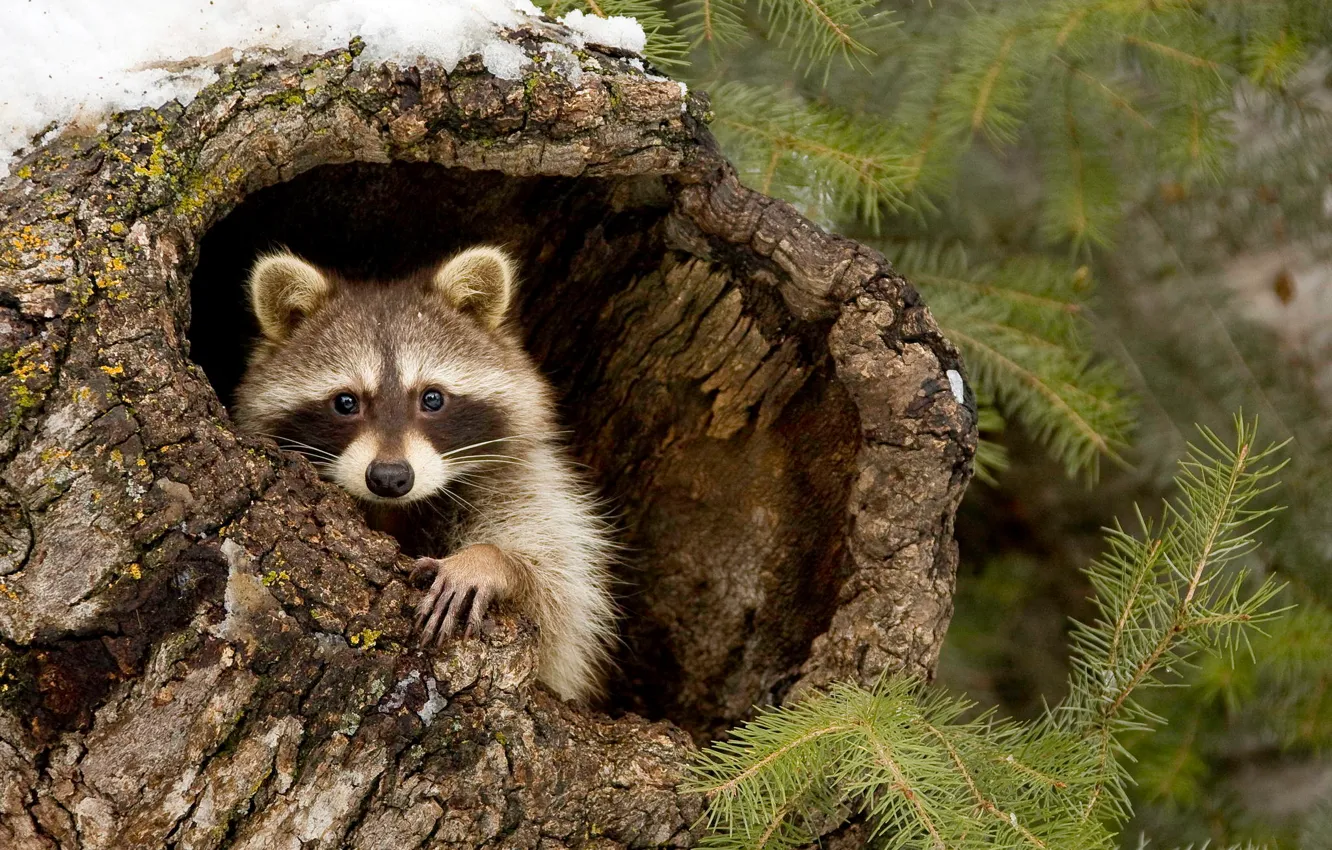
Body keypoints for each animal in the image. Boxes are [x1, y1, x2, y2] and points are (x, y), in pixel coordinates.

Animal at [233, 246, 616, 702]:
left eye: (432, 398)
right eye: (346, 402)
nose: (389, 477)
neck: (395, 508)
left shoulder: (525, 478)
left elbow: (559, 596)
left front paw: (490, 559)